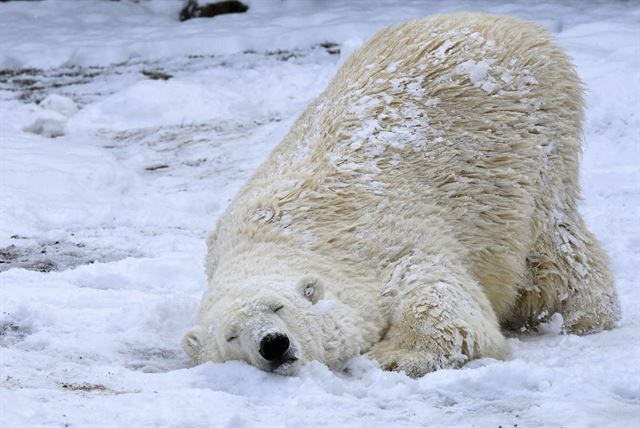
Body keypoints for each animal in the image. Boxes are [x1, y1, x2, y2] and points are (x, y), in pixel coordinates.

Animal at [181, 12, 620, 378]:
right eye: (231, 335)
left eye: (279, 307)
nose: (273, 344)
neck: (280, 237)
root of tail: (512, 23)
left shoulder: (378, 243)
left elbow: (435, 289)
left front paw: (393, 356)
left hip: (534, 151)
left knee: (550, 254)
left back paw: (583, 315)